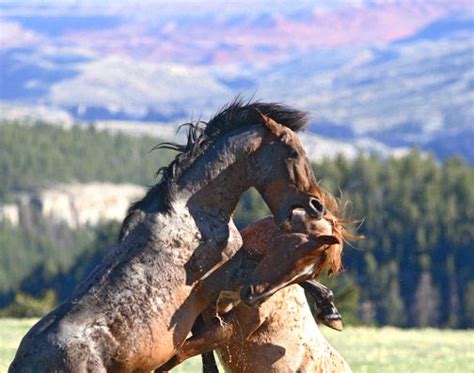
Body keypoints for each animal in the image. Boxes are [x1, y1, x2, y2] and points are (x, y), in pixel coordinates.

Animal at [12, 101, 330, 372]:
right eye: (293, 152)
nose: (318, 205)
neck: (194, 211)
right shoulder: (221, 280)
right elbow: (276, 277)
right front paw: (329, 310)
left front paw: (329, 309)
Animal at [157, 211, 350, 370]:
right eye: (293, 252)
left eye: (310, 272)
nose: (251, 297)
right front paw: (330, 311)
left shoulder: (230, 329)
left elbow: (177, 354)